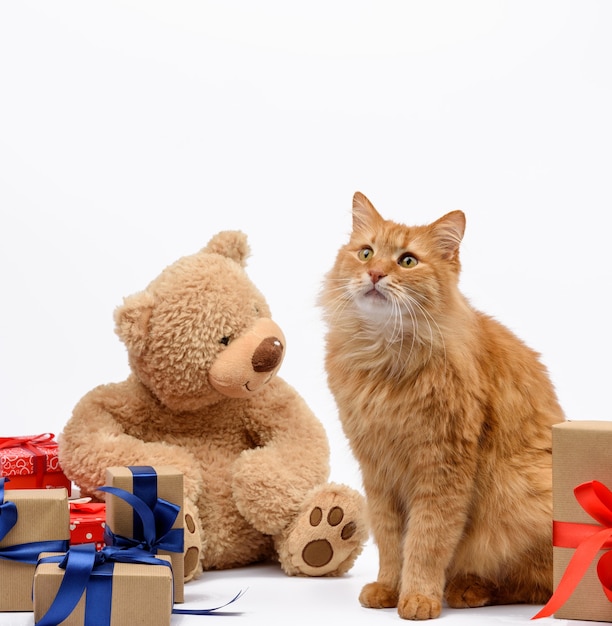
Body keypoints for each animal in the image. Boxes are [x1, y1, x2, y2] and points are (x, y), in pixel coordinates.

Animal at [320, 191, 564, 620]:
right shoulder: (378, 471)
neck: (384, 358)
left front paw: (418, 597)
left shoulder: (442, 467)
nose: (375, 274)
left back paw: (469, 589)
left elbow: (426, 541)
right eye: (366, 253)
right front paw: (389, 588)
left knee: (533, 584)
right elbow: (390, 542)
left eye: (407, 261)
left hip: (519, 490)